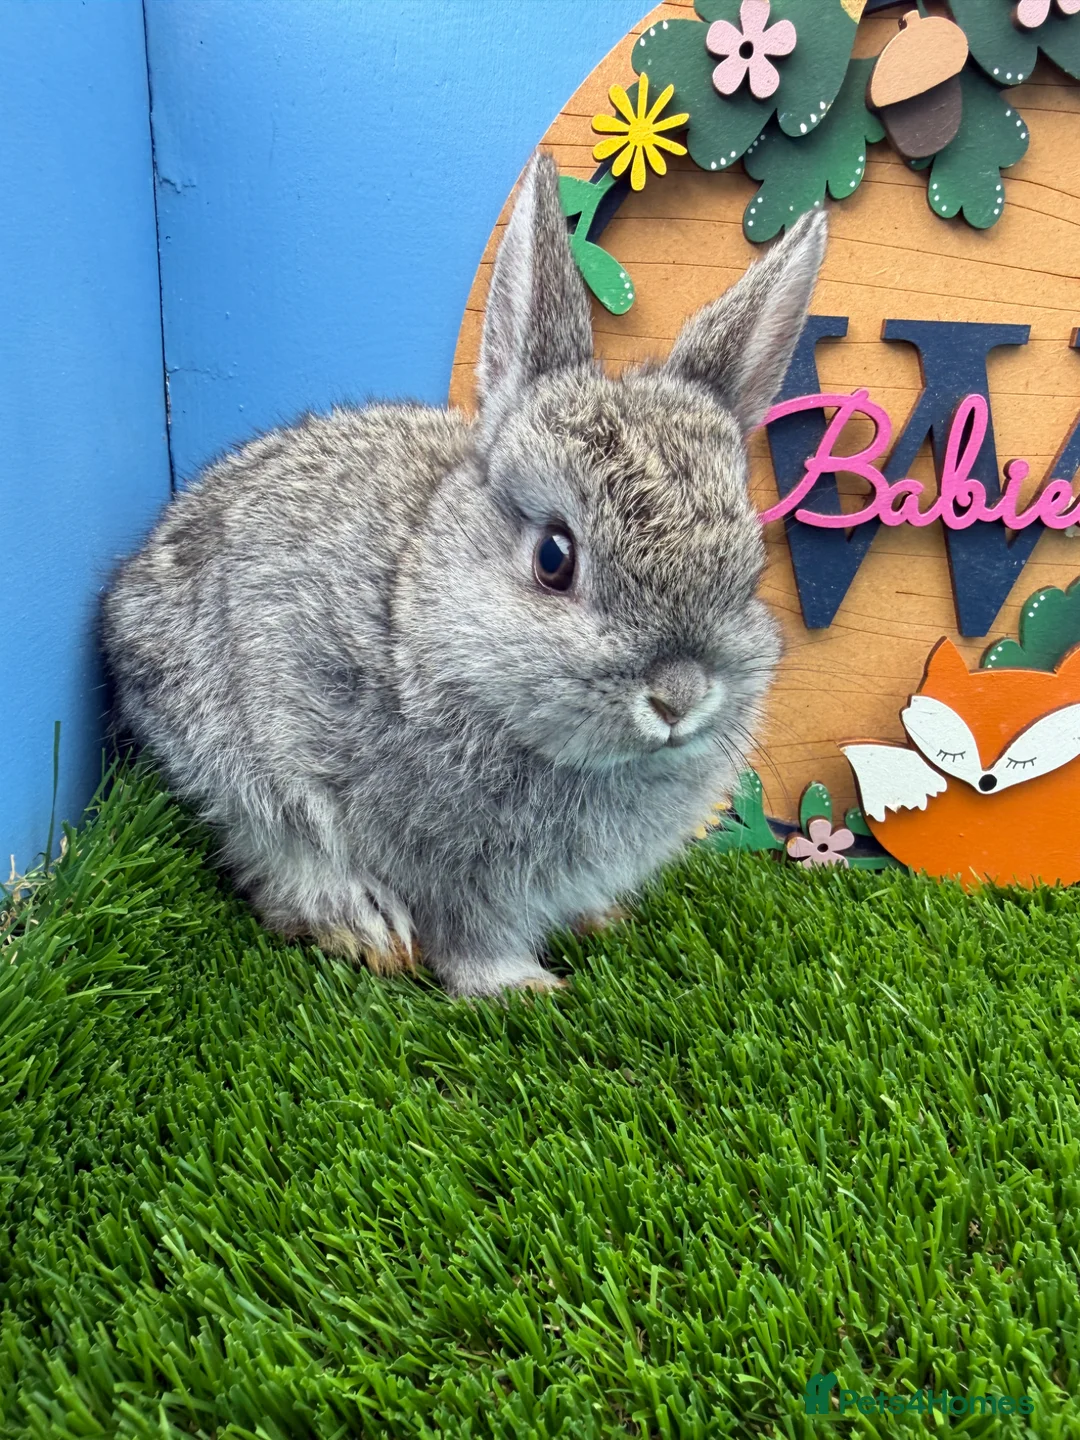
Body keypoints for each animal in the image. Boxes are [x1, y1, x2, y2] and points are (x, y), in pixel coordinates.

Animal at [102, 151, 826, 997]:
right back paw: (364, 929)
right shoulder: (442, 863)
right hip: (226, 762)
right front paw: (526, 989)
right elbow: (470, 935)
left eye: (750, 566)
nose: (678, 696)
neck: (419, 620)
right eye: (553, 559)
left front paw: (597, 919)